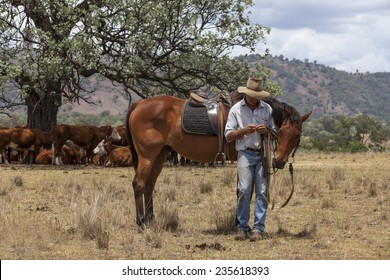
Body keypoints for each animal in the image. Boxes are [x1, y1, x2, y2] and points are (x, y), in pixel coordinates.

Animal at [126, 92, 312, 228]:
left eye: (297, 135)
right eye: (282, 131)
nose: (279, 161)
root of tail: (140, 104)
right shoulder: (241, 159)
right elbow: (242, 191)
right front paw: (239, 223)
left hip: (160, 154)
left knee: (149, 184)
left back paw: (151, 219)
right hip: (147, 156)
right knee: (139, 184)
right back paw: (141, 222)